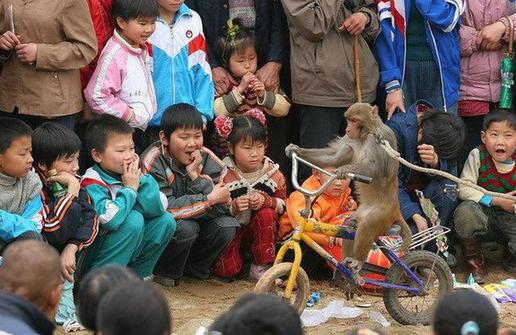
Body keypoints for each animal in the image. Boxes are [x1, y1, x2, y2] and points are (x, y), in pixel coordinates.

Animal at [286, 101, 412, 278]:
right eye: (348, 120)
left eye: (354, 120)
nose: (347, 129)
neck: (365, 134)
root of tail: (396, 209)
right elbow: (333, 157)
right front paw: (296, 150)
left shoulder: (379, 138)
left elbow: (374, 168)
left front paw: (344, 170)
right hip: (362, 211)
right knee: (350, 226)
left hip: (383, 214)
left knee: (367, 225)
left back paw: (358, 260)